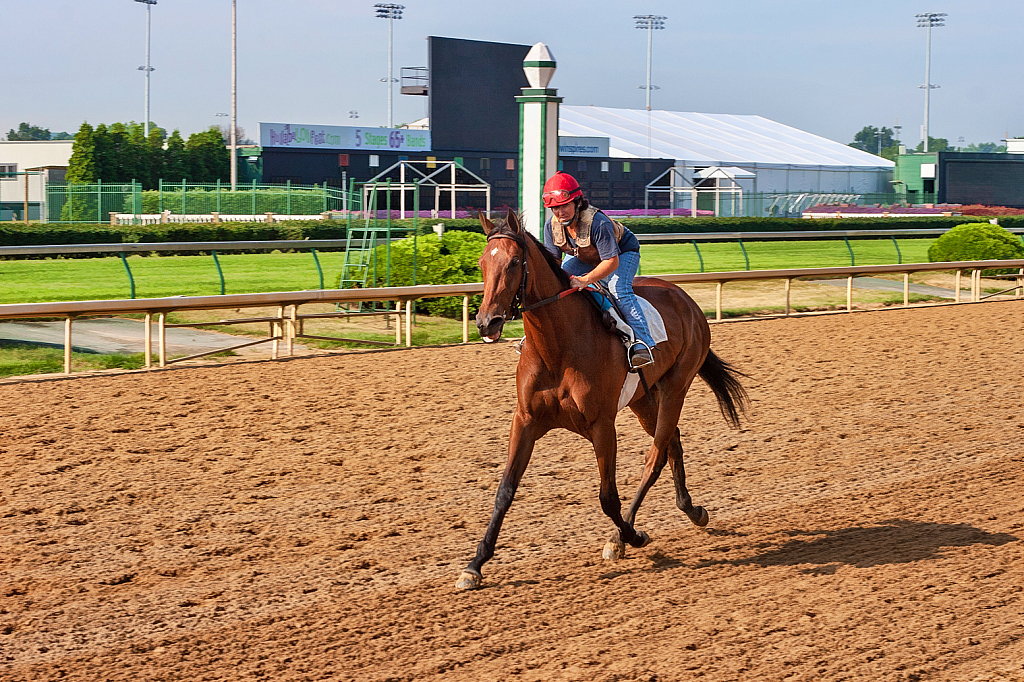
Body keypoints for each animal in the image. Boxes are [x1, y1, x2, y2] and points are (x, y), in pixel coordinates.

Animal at [460, 209, 749, 585]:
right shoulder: (525, 420)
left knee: (655, 455)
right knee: (672, 442)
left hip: (676, 386)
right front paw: (475, 565)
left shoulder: (602, 424)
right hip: (644, 399)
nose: (486, 322)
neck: (558, 348)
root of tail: (685, 299)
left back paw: (624, 535)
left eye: (512, 263)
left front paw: (630, 537)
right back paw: (692, 509)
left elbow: (608, 497)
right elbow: (505, 490)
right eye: (482, 262)